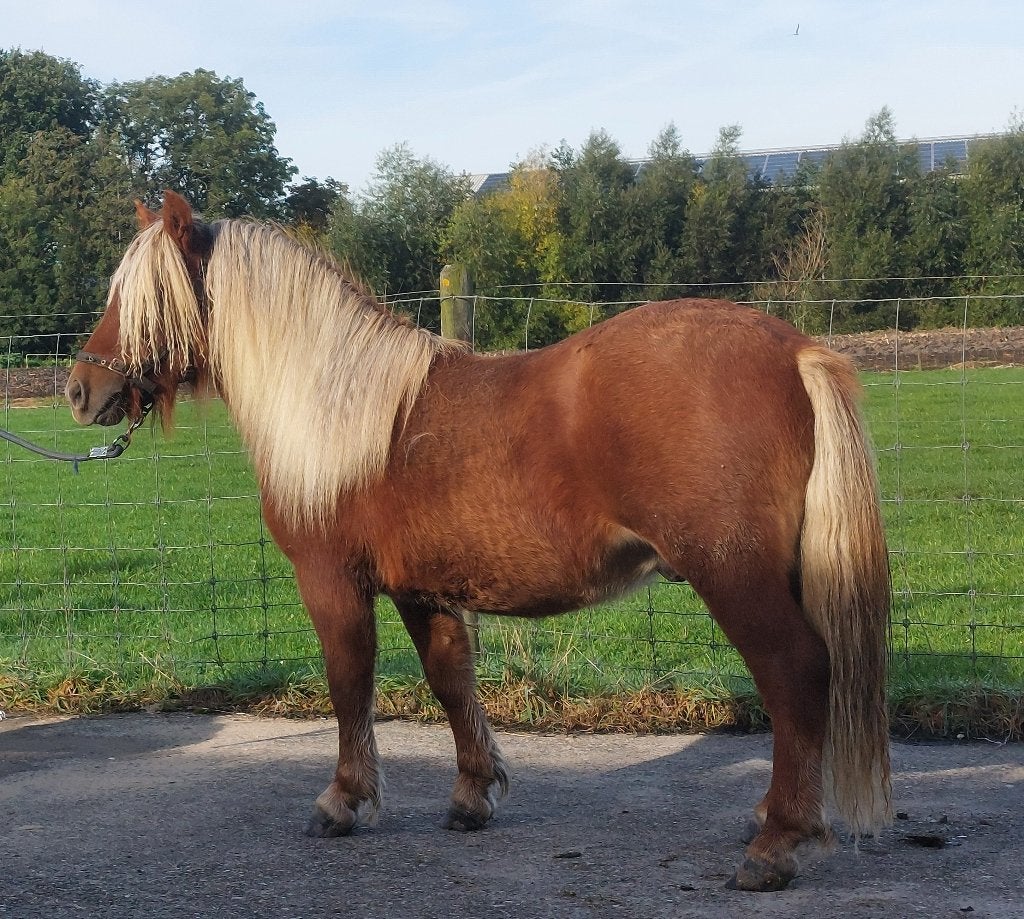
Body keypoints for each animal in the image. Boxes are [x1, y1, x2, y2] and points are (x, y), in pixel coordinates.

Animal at [66, 190, 891, 892]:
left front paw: (343, 799)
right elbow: (450, 679)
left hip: (734, 575)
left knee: (796, 672)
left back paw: (779, 841)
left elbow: (349, 684)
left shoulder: (333, 582)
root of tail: (795, 351)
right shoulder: (422, 590)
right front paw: (472, 794)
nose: (80, 390)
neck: (345, 413)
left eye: (141, 298)